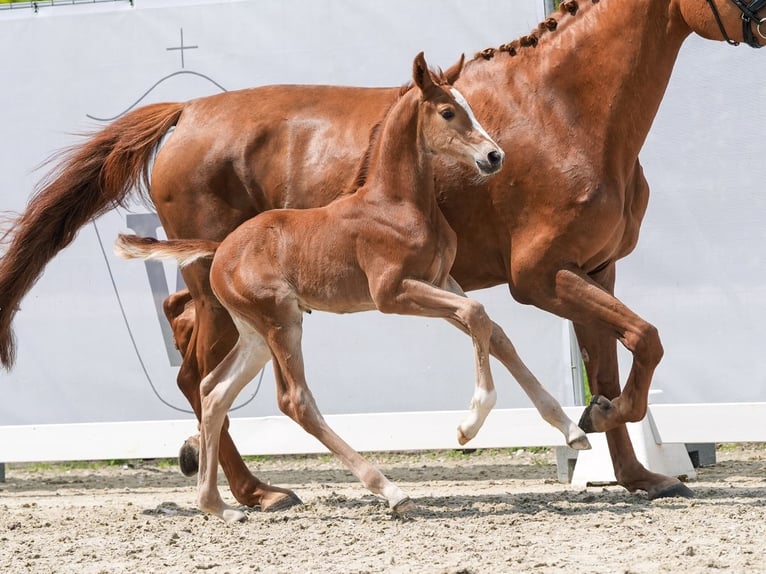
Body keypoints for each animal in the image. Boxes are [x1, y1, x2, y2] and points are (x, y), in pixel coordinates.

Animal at [118, 53, 588, 520]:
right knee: (295, 400)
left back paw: (218, 506)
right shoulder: (392, 293)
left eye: (469, 106)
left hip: (254, 334)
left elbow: (495, 331)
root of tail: (221, 248)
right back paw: (390, 491)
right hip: (281, 323)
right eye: (448, 112)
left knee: (213, 391)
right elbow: (477, 316)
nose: (494, 156)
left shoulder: (442, 281)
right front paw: (468, 426)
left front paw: (571, 431)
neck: (396, 203)